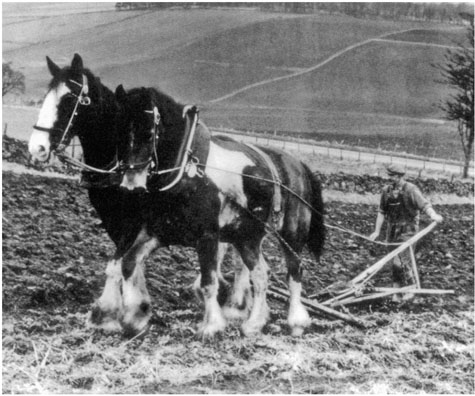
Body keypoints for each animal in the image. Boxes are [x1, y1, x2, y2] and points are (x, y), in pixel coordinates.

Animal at [27, 54, 158, 336]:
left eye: (68, 99)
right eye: (46, 96)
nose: (36, 148)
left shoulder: (134, 219)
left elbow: (118, 263)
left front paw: (105, 314)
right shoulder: (112, 219)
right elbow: (129, 262)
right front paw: (138, 310)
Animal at [114, 84, 328, 338]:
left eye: (149, 132)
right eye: (118, 129)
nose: (131, 184)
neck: (188, 169)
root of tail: (297, 164)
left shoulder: (207, 237)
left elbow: (209, 282)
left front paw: (211, 326)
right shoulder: (161, 232)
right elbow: (128, 263)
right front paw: (132, 318)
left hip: (291, 235)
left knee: (294, 271)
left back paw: (295, 321)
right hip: (247, 237)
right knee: (260, 274)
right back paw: (254, 323)